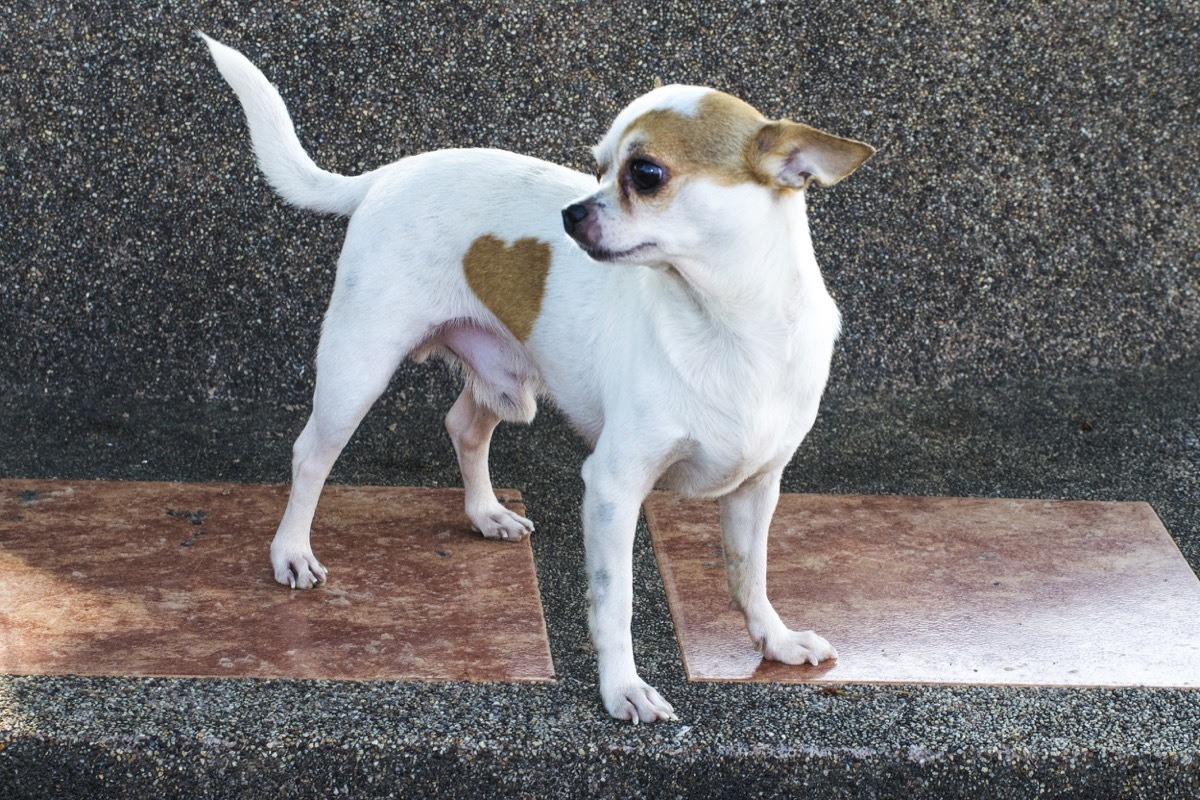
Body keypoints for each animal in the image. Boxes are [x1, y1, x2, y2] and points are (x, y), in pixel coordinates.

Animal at [201, 34, 878, 724]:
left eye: (645, 174)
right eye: (597, 167)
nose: (570, 213)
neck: (728, 327)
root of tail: (388, 174)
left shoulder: (756, 490)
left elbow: (751, 575)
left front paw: (776, 640)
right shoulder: (613, 488)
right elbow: (615, 601)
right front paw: (623, 687)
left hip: (498, 377)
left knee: (464, 426)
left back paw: (486, 513)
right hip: (356, 371)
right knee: (311, 454)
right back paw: (291, 552)